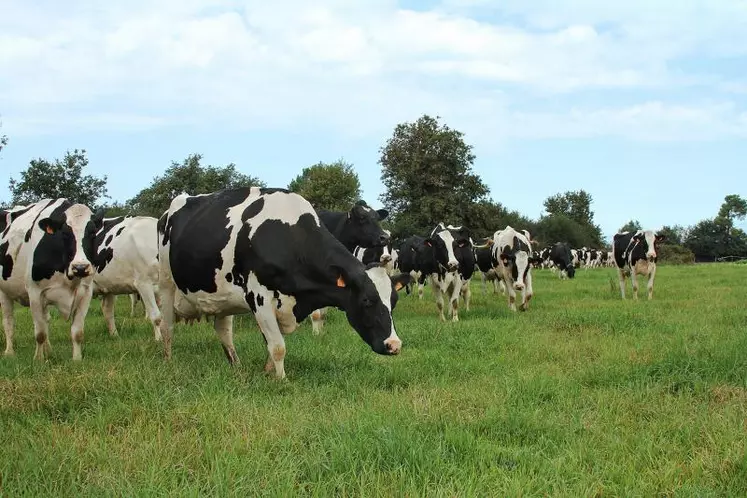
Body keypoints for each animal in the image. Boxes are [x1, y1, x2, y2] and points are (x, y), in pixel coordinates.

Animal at [0, 200, 106, 360]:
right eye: (65, 233)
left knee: (46, 320)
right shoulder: (35, 293)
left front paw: (77, 359)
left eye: (93, 232)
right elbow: (40, 333)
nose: (80, 267)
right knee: (9, 321)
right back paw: (9, 352)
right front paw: (38, 359)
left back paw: (48, 351)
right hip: (4, 292)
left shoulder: (86, 293)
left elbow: (77, 333)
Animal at [310, 199, 392, 334]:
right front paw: (316, 334)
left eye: (377, 218)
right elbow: (316, 313)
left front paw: (321, 331)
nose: (384, 237)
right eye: (362, 218)